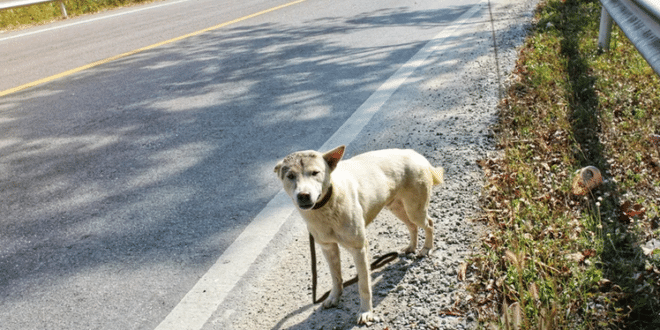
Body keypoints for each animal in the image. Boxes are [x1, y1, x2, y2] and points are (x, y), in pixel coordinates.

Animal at [274, 146, 444, 324]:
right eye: (290, 176)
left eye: (315, 173)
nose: (303, 195)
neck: (327, 205)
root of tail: (414, 153)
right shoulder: (328, 247)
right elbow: (335, 277)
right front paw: (334, 297)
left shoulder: (359, 248)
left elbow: (364, 285)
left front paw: (366, 312)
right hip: (396, 206)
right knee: (412, 226)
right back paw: (411, 247)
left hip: (414, 209)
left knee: (429, 223)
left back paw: (426, 248)